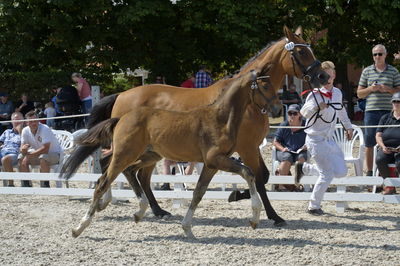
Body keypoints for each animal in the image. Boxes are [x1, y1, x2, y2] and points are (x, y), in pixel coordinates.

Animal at [69, 68, 278, 237]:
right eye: (265, 85)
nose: (276, 108)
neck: (221, 118)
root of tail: (121, 118)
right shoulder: (217, 159)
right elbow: (249, 173)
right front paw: (255, 218)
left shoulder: (212, 164)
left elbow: (198, 192)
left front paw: (187, 228)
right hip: (124, 154)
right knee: (103, 182)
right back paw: (80, 227)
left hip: (149, 155)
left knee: (131, 173)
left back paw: (141, 211)